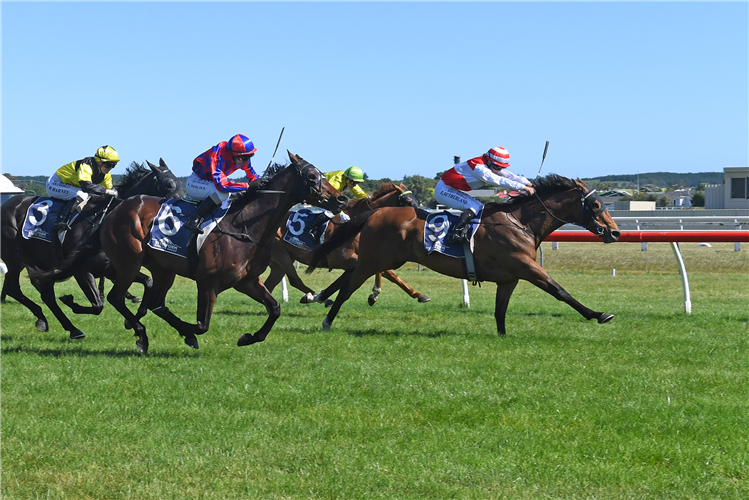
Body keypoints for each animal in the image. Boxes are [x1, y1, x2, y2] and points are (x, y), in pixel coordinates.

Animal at [0, 161, 183, 340]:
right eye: (168, 184)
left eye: (179, 182)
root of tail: (6, 205)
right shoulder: (81, 270)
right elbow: (97, 305)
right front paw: (70, 301)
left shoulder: (113, 269)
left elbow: (148, 282)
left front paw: (131, 321)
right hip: (15, 257)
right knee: (14, 288)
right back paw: (46, 318)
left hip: (38, 262)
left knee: (46, 293)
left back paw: (66, 327)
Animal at [51, 151, 344, 352]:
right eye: (311, 176)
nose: (341, 198)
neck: (245, 225)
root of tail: (116, 209)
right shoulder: (208, 282)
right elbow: (202, 325)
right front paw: (189, 333)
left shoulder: (247, 281)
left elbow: (275, 308)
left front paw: (249, 337)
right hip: (128, 263)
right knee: (116, 297)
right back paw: (139, 333)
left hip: (162, 269)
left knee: (154, 301)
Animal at [262, 182, 430, 306]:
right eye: (408, 201)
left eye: (416, 200)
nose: (421, 218)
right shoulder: (347, 259)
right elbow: (388, 272)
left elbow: (385, 272)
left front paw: (376, 294)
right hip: (281, 254)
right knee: (294, 280)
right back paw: (316, 298)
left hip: (280, 262)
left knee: (270, 284)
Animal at [306, 174, 624, 334]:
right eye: (596, 205)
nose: (615, 232)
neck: (519, 222)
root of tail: (376, 212)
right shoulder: (526, 267)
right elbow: (560, 291)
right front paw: (599, 314)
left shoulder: (509, 278)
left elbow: (500, 311)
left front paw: (502, 336)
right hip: (374, 259)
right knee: (348, 287)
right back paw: (326, 319)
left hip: (382, 258)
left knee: (350, 279)